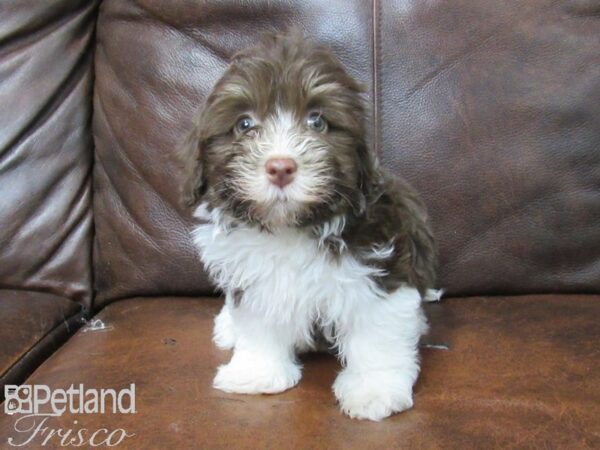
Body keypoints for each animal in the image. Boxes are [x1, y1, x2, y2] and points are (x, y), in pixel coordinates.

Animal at [178, 31, 436, 422]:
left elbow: (377, 333)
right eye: (244, 124)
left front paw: (374, 389)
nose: (281, 167)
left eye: (317, 121)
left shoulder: (381, 267)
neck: (291, 227)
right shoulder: (253, 276)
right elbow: (259, 321)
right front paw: (256, 372)